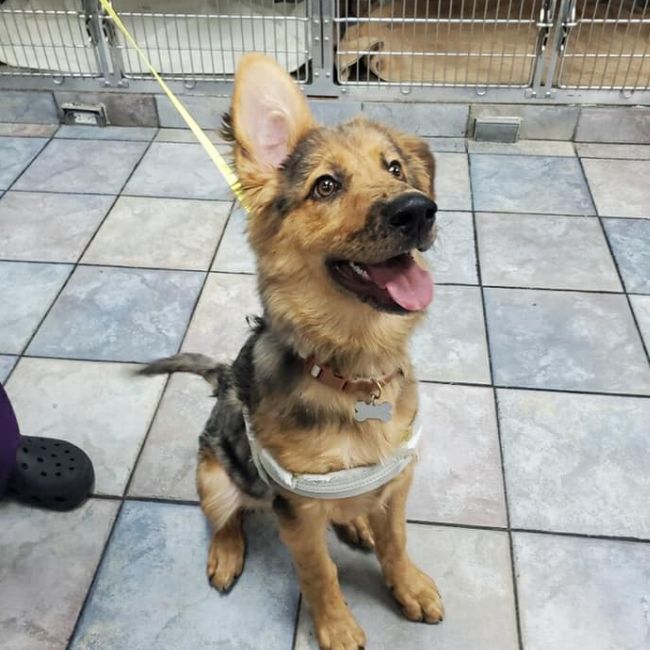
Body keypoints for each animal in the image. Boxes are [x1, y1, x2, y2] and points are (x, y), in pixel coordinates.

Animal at [142, 55, 442, 648]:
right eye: (325, 185)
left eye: (395, 169)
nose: (419, 211)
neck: (352, 374)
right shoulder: (297, 507)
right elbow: (318, 571)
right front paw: (336, 624)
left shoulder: (396, 480)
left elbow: (396, 541)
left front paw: (409, 586)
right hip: (214, 474)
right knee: (226, 516)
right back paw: (227, 552)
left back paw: (354, 521)